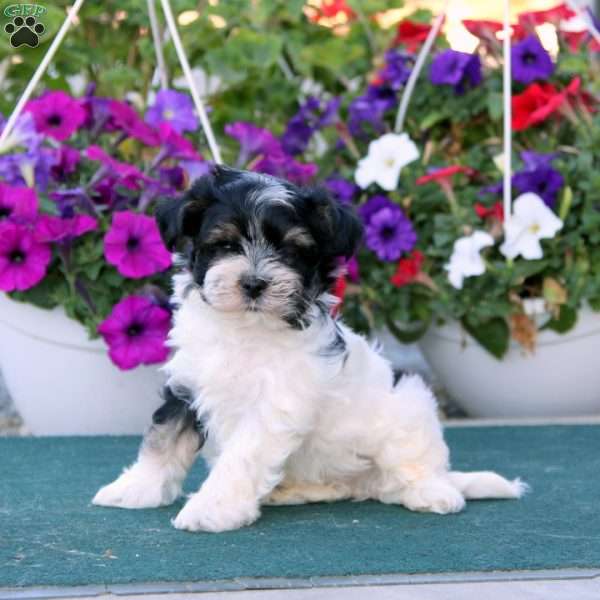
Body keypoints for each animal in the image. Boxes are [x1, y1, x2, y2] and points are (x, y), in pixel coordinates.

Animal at [94, 166, 524, 532]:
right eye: (225, 244)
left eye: (290, 251)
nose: (253, 283)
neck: (248, 328)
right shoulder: (187, 385)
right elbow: (164, 437)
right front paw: (136, 488)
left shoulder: (273, 407)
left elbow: (239, 457)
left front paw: (210, 509)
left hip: (409, 405)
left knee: (415, 461)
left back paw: (434, 491)